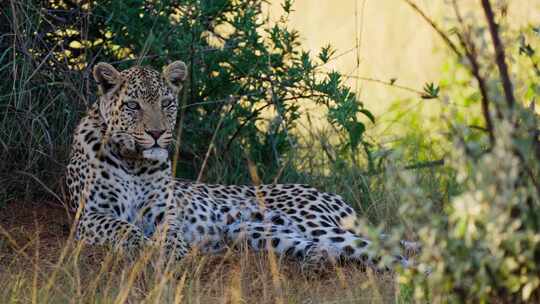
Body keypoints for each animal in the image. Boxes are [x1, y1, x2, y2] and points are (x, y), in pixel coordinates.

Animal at [66, 61, 414, 268]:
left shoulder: (165, 211)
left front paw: (174, 251)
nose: (156, 133)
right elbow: (123, 226)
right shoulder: (88, 215)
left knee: (388, 249)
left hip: (317, 223)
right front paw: (146, 246)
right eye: (132, 106)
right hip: (253, 231)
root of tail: (326, 193)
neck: (134, 164)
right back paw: (318, 259)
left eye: (166, 103)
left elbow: (171, 232)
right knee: (353, 250)